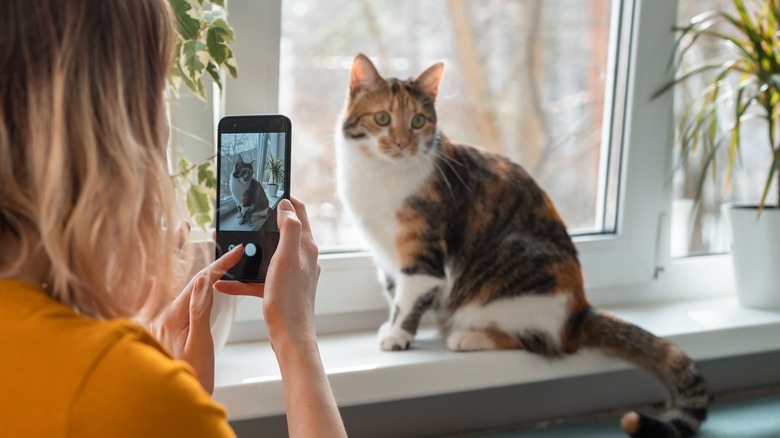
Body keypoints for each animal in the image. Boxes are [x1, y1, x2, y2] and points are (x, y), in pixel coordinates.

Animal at [336, 54, 708, 438]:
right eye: (382, 118)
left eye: (418, 121)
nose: (401, 143)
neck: (379, 174)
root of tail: (581, 311)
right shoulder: (385, 254)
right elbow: (395, 292)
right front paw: (391, 326)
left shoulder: (422, 250)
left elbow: (409, 297)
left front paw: (398, 335)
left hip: (508, 277)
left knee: (541, 342)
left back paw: (468, 337)